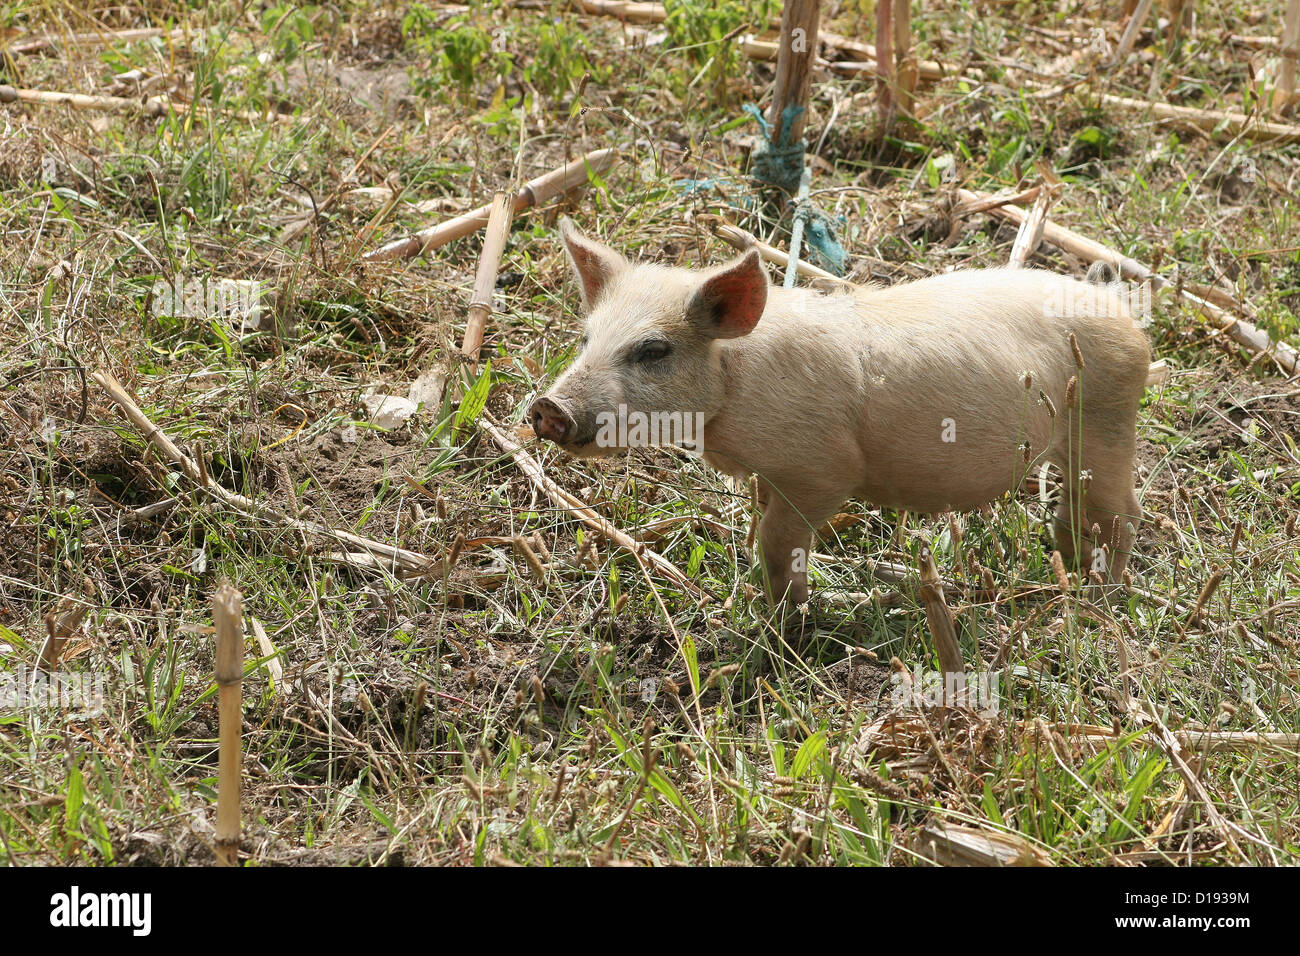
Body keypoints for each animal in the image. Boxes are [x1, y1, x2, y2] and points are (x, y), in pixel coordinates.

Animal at [530, 219, 1150, 605]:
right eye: (586, 338)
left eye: (654, 350)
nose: (546, 407)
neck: (737, 387)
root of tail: (1118, 307)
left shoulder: (821, 470)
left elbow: (779, 541)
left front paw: (788, 621)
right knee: (1077, 509)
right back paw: (1066, 567)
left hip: (1108, 417)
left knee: (1123, 512)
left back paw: (1101, 594)